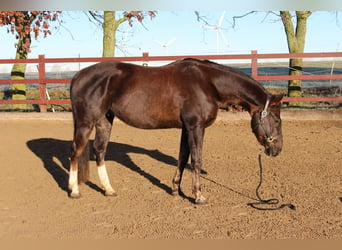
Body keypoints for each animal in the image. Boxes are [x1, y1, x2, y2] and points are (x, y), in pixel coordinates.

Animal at [67, 58, 284, 203]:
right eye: (276, 119)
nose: (278, 149)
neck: (207, 83)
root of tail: (78, 75)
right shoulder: (196, 127)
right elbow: (196, 160)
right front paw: (198, 195)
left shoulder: (186, 128)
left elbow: (182, 157)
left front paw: (175, 189)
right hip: (86, 122)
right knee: (75, 152)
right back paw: (74, 190)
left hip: (104, 121)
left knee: (99, 151)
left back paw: (108, 189)